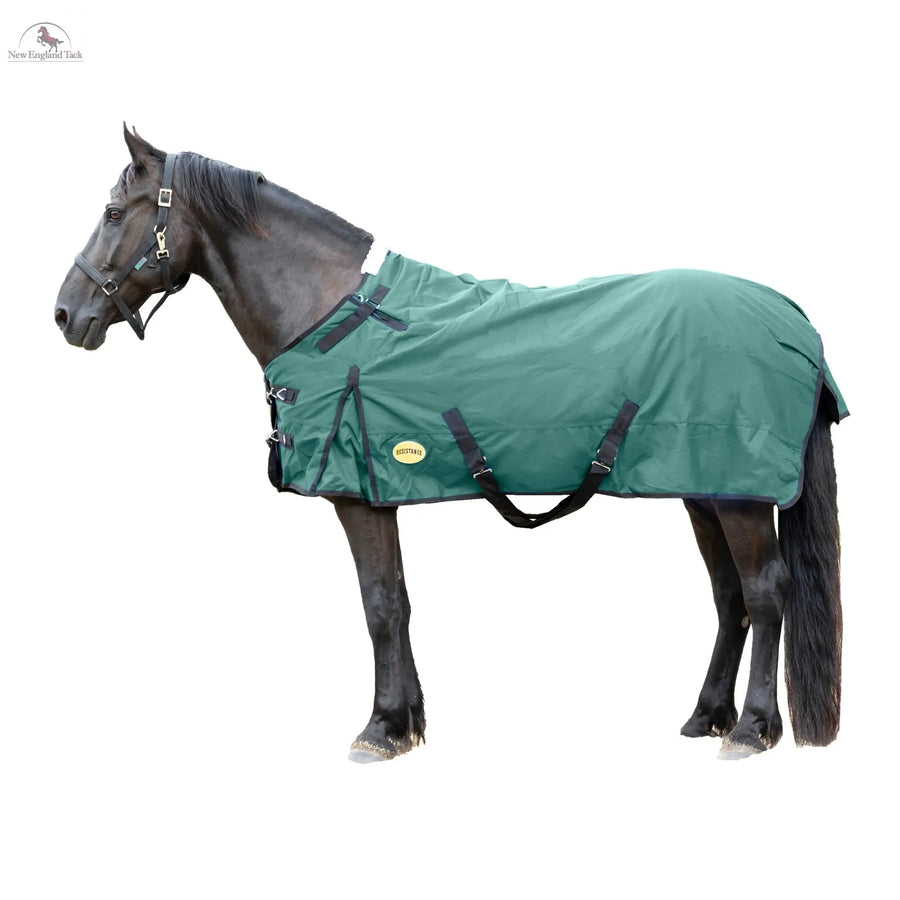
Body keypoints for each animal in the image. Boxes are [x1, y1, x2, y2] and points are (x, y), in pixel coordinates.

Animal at [54, 126, 844, 762]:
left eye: (113, 213)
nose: (65, 313)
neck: (327, 310)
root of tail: (791, 316)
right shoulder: (379, 495)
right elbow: (399, 601)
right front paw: (407, 723)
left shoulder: (356, 497)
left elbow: (377, 604)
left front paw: (379, 729)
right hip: (704, 489)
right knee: (729, 596)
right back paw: (706, 716)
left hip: (740, 496)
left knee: (766, 592)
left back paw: (752, 729)